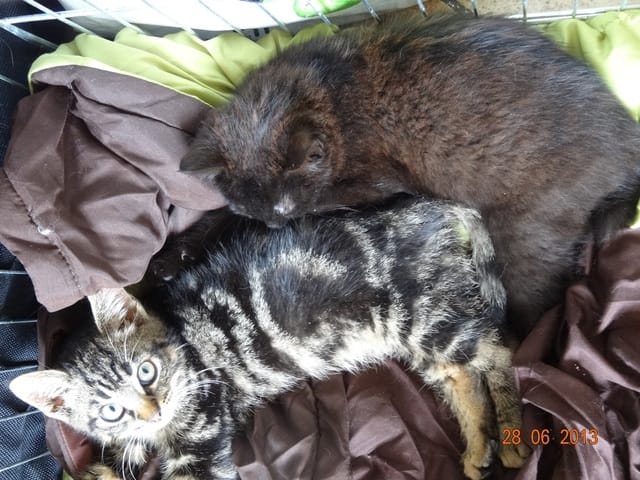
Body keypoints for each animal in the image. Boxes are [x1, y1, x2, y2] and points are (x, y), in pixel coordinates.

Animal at [10, 197, 529, 480]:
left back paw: (510, 434)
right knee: (459, 373)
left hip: (421, 316)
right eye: (110, 411)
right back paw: (478, 448)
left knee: (495, 350)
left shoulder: (201, 438)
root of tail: (427, 207)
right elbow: (118, 457)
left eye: (146, 371)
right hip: (417, 332)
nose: (153, 410)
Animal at [180, 13, 640, 334]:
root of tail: (628, 144)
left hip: (528, 232)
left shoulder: (375, 185)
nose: (275, 226)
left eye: (287, 208)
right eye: (255, 212)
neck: (327, 98)